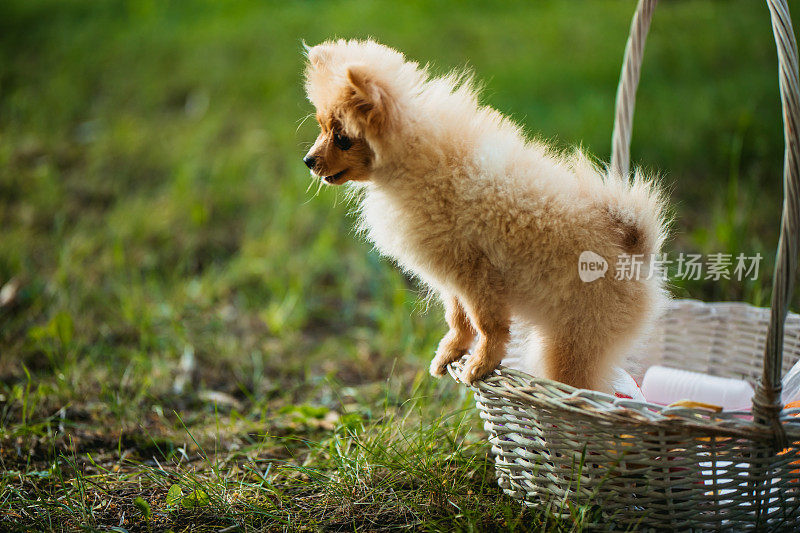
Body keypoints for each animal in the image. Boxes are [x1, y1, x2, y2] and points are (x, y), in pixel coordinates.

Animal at [304, 36, 664, 386]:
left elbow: (489, 324)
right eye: (321, 127)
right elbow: (458, 319)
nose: (308, 160)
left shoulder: (476, 274)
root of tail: (634, 246)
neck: (415, 160)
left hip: (576, 339)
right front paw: (449, 353)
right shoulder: (452, 275)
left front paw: (481, 364)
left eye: (342, 138)